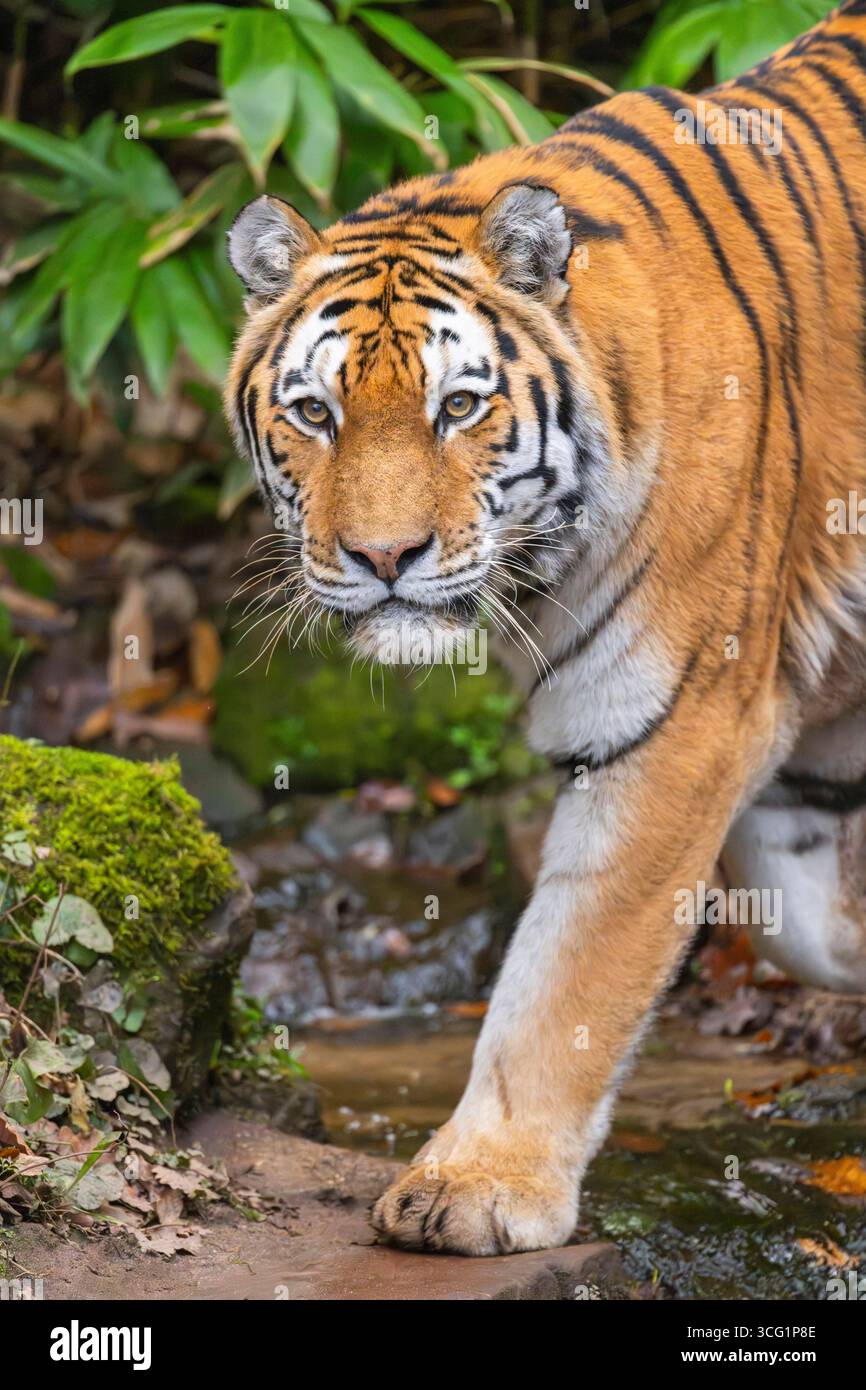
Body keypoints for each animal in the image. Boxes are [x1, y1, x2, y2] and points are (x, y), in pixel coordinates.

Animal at [224, 0, 866, 1256]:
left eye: (458, 406)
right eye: (313, 411)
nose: (381, 559)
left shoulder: (676, 720)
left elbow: (569, 970)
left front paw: (478, 1185)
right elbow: (810, 922)